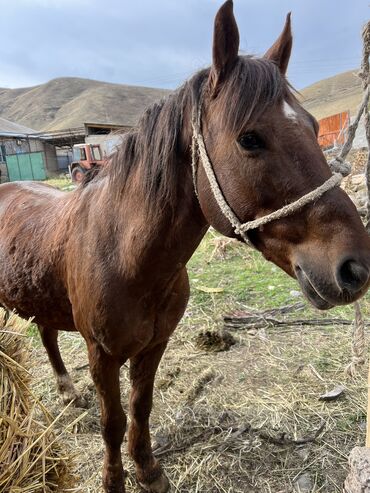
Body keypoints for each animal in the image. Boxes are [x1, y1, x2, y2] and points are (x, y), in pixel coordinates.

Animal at [0, 1, 370, 490]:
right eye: (250, 138)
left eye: (312, 127)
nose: (356, 267)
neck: (125, 256)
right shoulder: (102, 355)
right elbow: (113, 422)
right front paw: (114, 479)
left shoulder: (154, 346)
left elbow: (140, 408)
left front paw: (148, 469)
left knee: (45, 332)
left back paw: (66, 390)